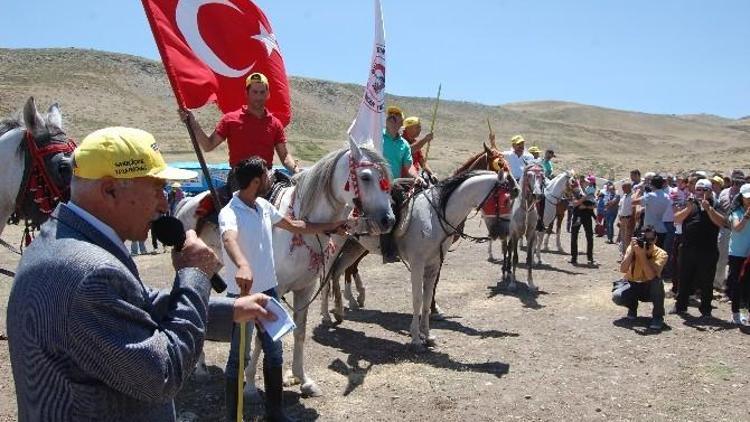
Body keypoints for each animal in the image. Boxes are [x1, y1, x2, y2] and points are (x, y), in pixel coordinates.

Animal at [178, 140, 396, 398]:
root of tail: (186, 203)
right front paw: (250, 385)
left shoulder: (305, 288)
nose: (388, 220)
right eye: (365, 176)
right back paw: (201, 368)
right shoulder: (274, 290)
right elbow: (264, 338)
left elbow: (300, 332)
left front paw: (302, 379)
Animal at [320, 170, 508, 352]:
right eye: (505, 200)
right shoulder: (418, 264)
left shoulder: (433, 264)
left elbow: (427, 297)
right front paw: (416, 339)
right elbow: (417, 298)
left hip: (355, 246)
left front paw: (428, 335)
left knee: (337, 271)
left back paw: (339, 311)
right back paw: (327, 316)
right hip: (336, 244)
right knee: (327, 276)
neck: (435, 217)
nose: (502, 232)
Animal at [502, 163, 544, 292]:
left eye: (542, 176)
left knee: (509, 249)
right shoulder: (515, 234)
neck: (525, 208)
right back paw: (505, 273)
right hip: (507, 235)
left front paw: (531, 283)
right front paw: (512, 284)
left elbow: (529, 259)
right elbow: (515, 258)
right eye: (529, 175)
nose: (537, 194)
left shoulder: (531, 235)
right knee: (506, 250)